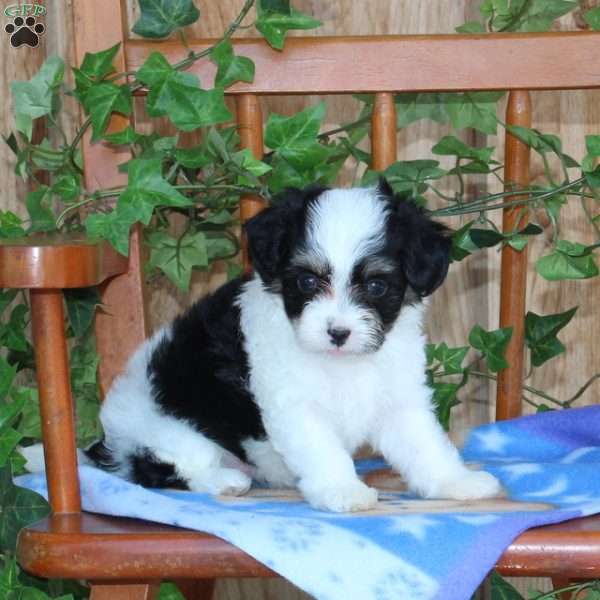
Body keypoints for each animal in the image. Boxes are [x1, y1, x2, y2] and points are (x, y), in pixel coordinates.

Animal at [27, 182, 502, 510]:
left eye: (376, 285)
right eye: (307, 282)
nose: (338, 332)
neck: (340, 362)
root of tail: (104, 444)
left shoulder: (398, 397)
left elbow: (424, 444)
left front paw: (456, 482)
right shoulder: (294, 405)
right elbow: (322, 448)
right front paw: (342, 490)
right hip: (166, 431)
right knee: (168, 468)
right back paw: (225, 481)